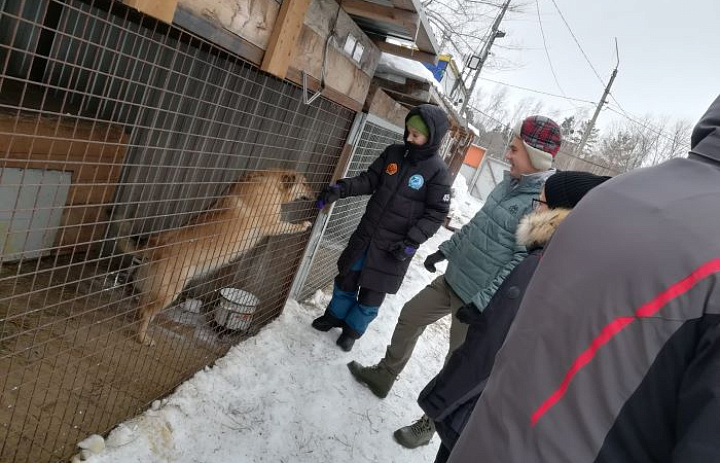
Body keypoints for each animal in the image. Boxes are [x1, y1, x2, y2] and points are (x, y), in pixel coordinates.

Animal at [114, 169, 314, 344]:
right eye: (305, 183)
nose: (316, 194)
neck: (272, 183)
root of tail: (155, 244)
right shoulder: (274, 224)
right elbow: (291, 226)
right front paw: (304, 224)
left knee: (142, 307)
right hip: (170, 291)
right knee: (146, 312)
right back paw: (143, 338)